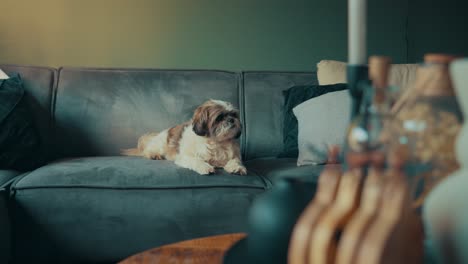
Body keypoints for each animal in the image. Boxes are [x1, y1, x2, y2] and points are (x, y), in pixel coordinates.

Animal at [121, 99, 249, 175]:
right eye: (219, 118)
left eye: (234, 115)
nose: (231, 120)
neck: (216, 142)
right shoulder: (185, 157)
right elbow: (195, 160)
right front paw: (204, 167)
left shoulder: (234, 156)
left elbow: (235, 161)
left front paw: (237, 168)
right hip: (160, 145)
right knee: (147, 151)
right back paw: (154, 155)